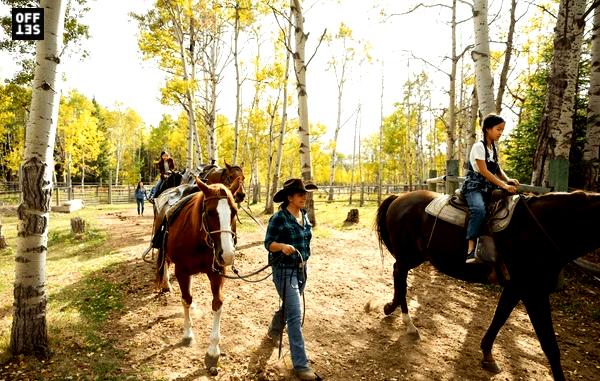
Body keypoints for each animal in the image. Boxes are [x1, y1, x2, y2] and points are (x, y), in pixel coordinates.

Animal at [156, 178, 243, 372]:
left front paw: (213, 350)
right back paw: (166, 284)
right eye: (210, 212)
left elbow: (217, 303)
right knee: (165, 262)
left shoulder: (217, 272)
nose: (227, 255)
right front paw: (188, 334)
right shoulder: (181, 271)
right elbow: (186, 299)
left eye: (234, 211)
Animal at [376, 190, 600, 380]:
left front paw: (487, 356)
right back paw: (407, 322)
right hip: (408, 255)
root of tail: (398, 197)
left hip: (415, 256)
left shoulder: (515, 288)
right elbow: (550, 345)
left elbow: (499, 318)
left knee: (398, 275)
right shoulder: (533, 292)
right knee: (399, 276)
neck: (543, 228)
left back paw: (395, 311)